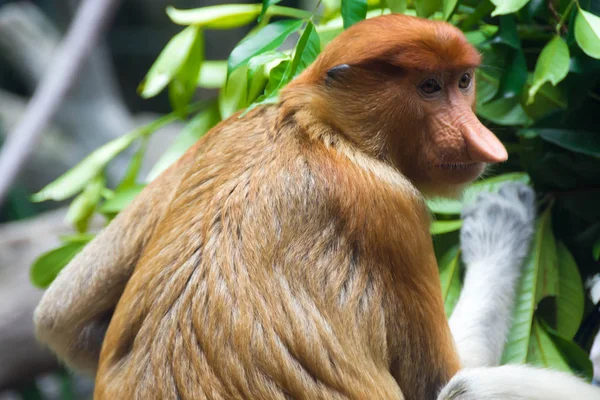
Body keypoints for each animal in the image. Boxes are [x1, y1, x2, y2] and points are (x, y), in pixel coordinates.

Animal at [34, 14, 600, 398]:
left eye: (463, 81)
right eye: (429, 87)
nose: (484, 142)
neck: (321, 131)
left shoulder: (237, 123)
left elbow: (59, 316)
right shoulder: (391, 206)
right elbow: (443, 378)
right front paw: (501, 216)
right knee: (471, 386)